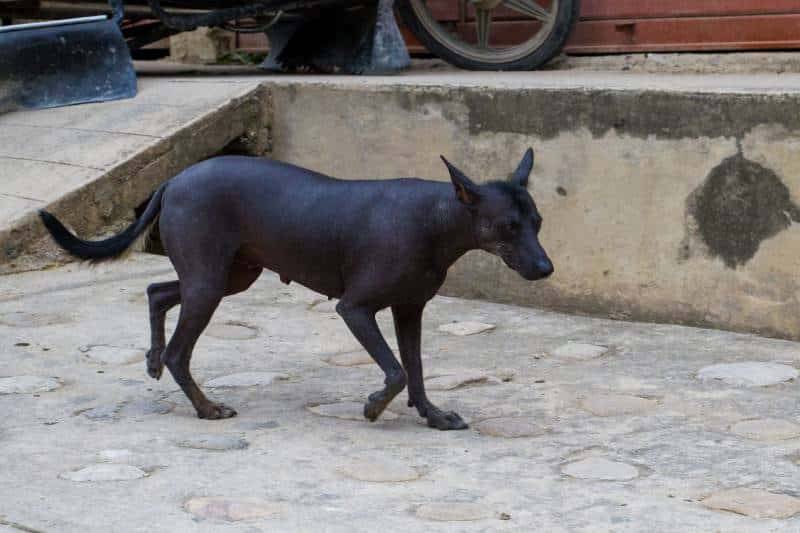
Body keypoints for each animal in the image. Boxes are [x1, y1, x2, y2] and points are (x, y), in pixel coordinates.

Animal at [40, 149, 552, 428]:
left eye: (539, 223)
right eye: (507, 227)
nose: (546, 268)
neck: (436, 218)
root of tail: (175, 178)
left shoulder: (409, 311)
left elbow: (417, 371)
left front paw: (433, 416)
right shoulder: (355, 309)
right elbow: (397, 373)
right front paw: (373, 407)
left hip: (228, 277)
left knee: (157, 291)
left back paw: (150, 359)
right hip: (209, 285)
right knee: (178, 352)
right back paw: (205, 407)